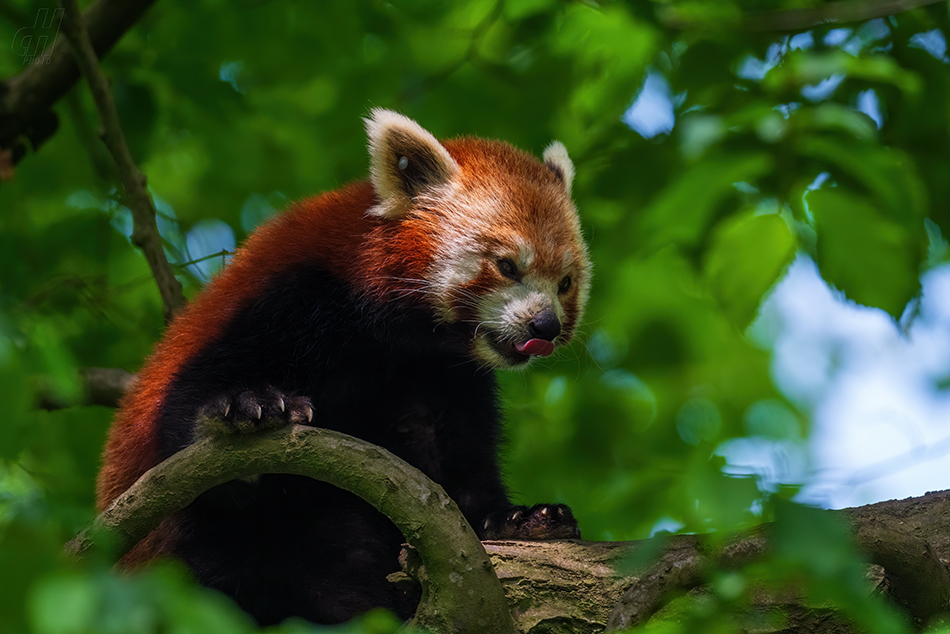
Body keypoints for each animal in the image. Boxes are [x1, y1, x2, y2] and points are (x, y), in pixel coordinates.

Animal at [96, 108, 588, 624]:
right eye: (507, 266)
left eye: (565, 282)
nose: (547, 326)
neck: (392, 338)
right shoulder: (289, 295)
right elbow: (186, 421)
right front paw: (242, 409)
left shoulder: (443, 377)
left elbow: (458, 473)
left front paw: (517, 519)